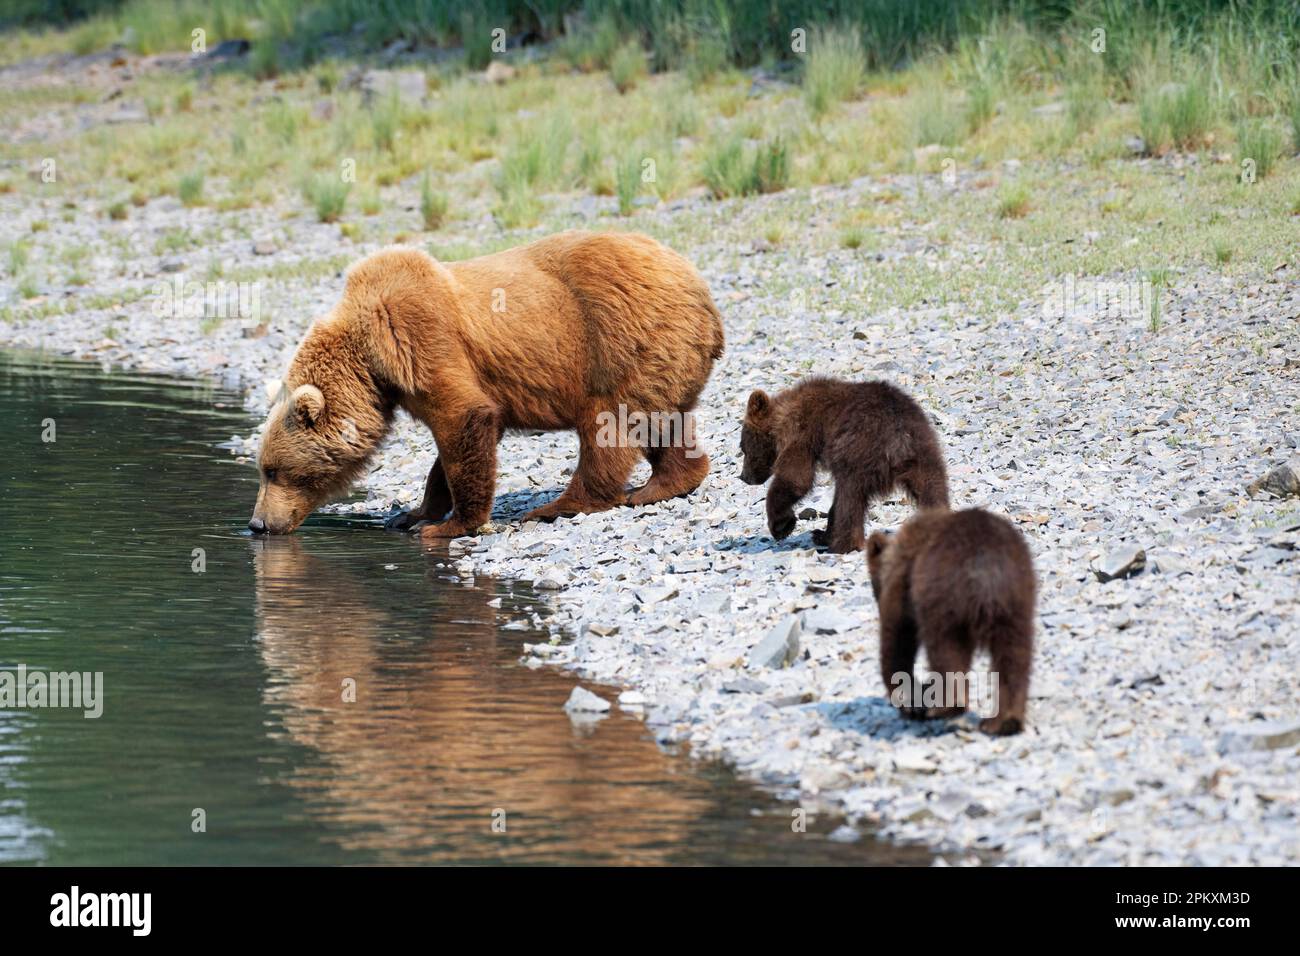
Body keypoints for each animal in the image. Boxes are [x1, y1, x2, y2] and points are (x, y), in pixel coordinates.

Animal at [248, 228, 728, 535]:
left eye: (273, 470)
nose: (258, 523)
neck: (369, 360)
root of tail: (701, 290)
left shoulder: (420, 336)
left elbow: (463, 417)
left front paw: (451, 525)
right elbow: (463, 438)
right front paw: (414, 514)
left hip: (618, 341)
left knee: (608, 426)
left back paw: (557, 507)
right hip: (660, 357)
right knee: (662, 420)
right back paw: (663, 484)